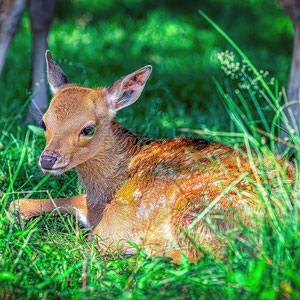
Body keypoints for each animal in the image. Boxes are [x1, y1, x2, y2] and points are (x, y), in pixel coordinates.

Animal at [8, 50, 292, 264]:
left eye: (88, 129)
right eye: (44, 122)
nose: (47, 160)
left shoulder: (116, 222)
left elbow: (95, 238)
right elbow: (40, 201)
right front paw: (15, 213)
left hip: (201, 210)